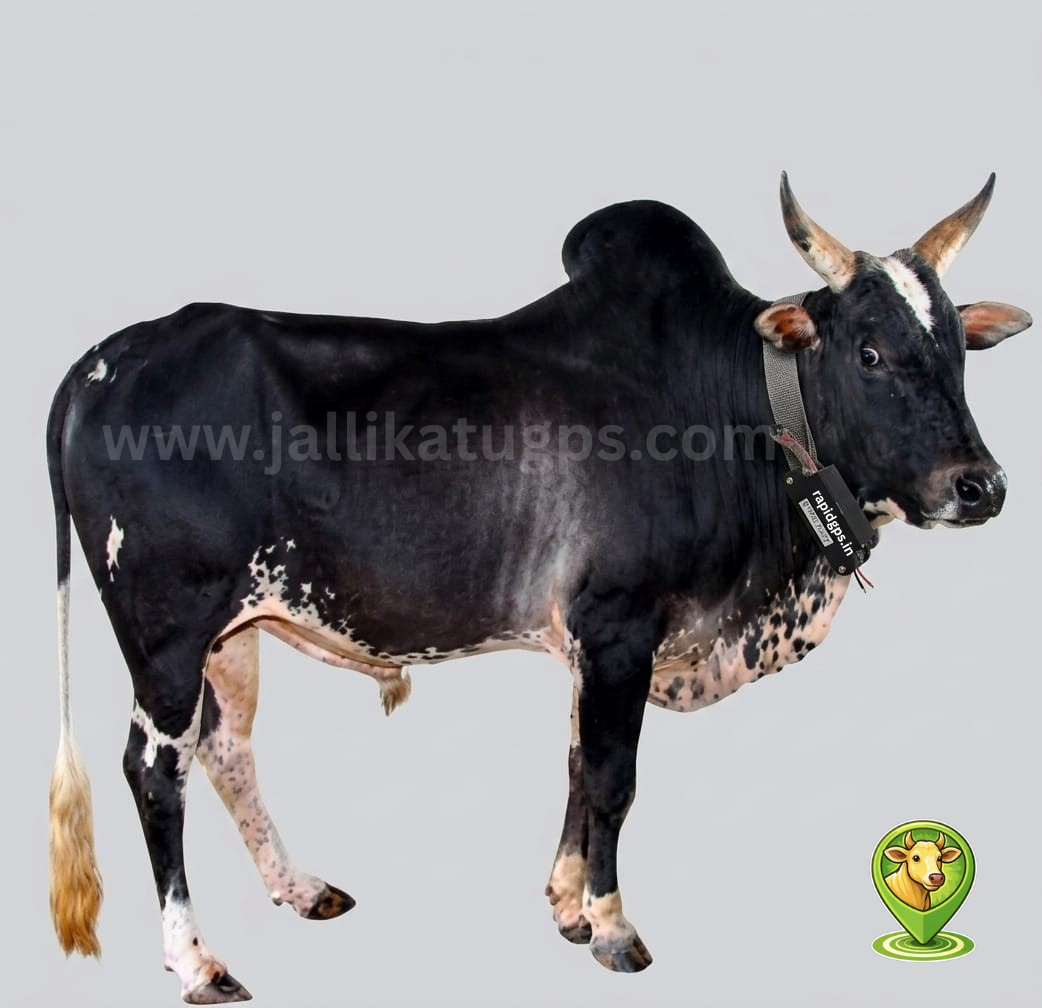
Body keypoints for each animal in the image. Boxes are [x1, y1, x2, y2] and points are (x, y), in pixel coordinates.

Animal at [47, 174, 1030, 1003]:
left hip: (236, 630)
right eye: (869, 351)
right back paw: (197, 962)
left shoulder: (590, 644)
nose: (980, 486)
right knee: (154, 771)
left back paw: (299, 887)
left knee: (227, 750)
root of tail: (108, 357)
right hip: (166, 632)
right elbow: (612, 778)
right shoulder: (619, 626)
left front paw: (566, 905)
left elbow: (575, 764)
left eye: (957, 348)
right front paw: (612, 927)